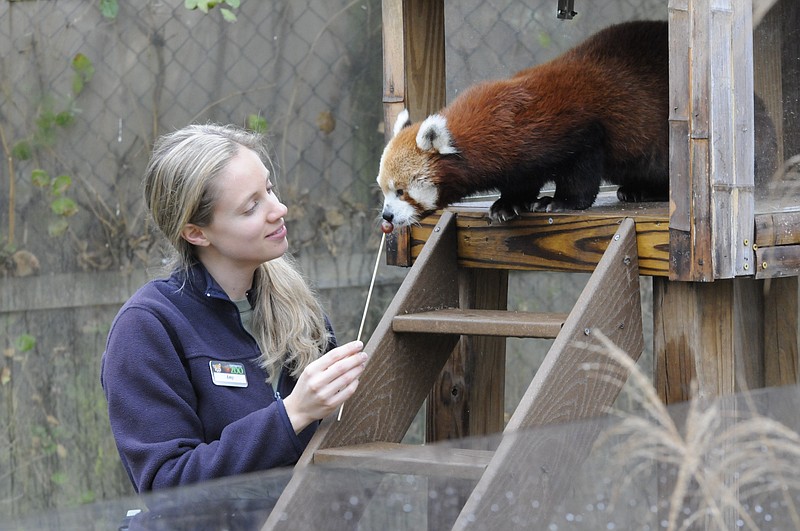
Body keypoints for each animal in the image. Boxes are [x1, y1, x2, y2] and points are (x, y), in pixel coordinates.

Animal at [378, 20, 672, 227]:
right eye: (384, 190)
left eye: (401, 191)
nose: (387, 216)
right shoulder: (518, 154)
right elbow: (522, 179)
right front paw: (508, 204)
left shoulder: (575, 129)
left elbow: (581, 167)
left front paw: (561, 202)